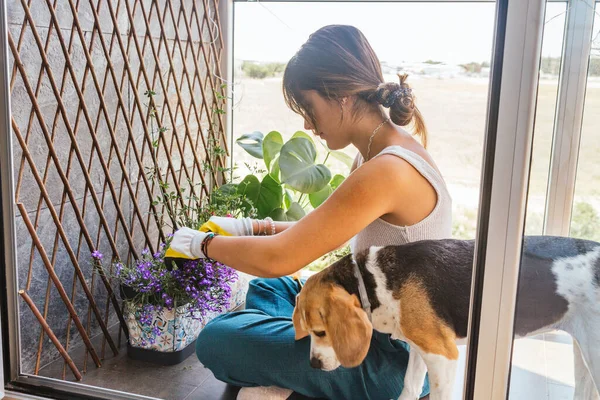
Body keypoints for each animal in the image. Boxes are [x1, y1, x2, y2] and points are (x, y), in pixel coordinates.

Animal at [294, 236, 600, 398]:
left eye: (320, 332)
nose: (313, 364)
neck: (375, 280)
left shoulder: (443, 356)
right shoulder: (421, 350)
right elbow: (410, 387)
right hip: (582, 354)